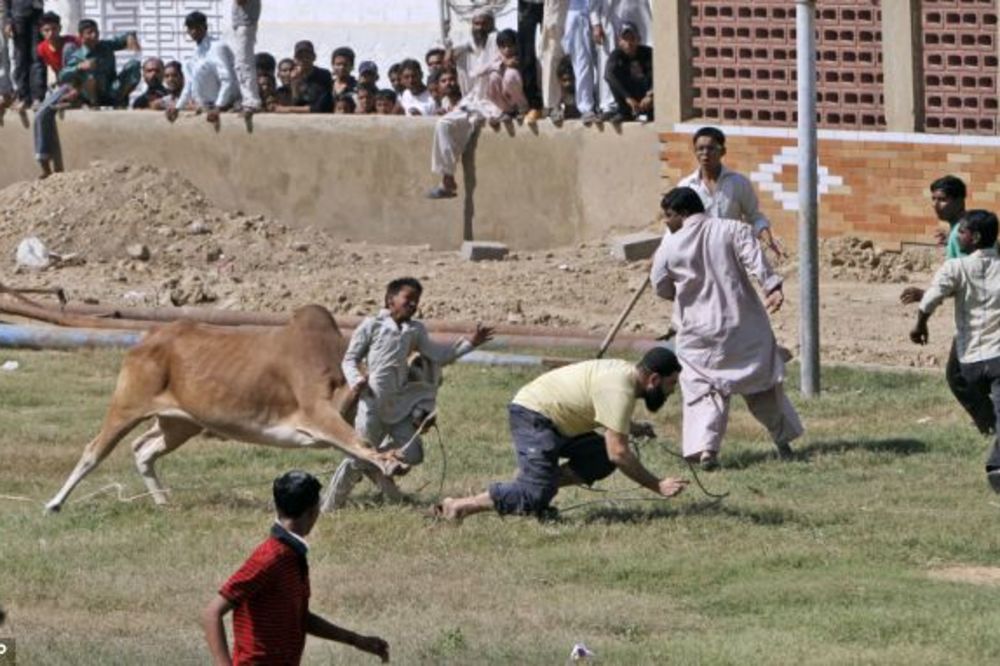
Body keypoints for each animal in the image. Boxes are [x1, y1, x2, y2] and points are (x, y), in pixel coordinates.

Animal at [43, 304, 402, 510]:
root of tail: (149, 335)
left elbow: (363, 459)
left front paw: (401, 496)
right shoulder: (319, 415)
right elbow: (365, 448)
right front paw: (393, 466)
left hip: (180, 423)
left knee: (144, 449)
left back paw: (163, 501)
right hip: (126, 407)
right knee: (94, 451)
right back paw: (55, 503)